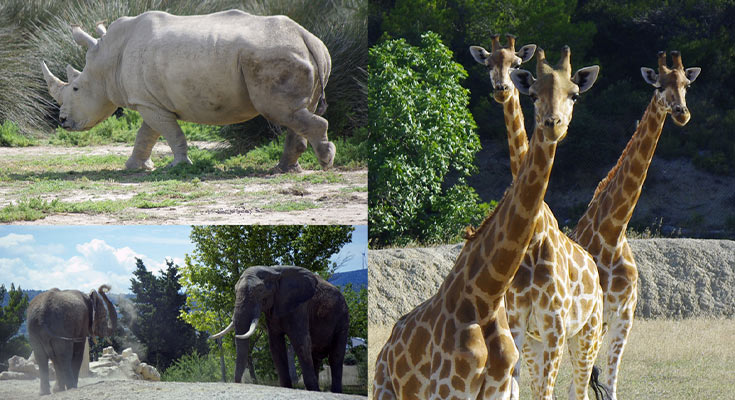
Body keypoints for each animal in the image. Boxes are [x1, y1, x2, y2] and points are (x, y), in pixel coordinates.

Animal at [210, 264, 350, 392]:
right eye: (234, 290)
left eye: (260, 290)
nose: (238, 383)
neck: (273, 270)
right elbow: (276, 345)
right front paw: (287, 387)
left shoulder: (299, 306)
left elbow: (300, 341)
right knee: (315, 356)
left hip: (343, 317)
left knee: (336, 356)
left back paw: (332, 391)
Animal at [374, 47, 600, 400]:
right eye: (533, 94)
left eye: (574, 94)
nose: (553, 124)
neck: (485, 298)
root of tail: (386, 348)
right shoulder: (450, 391)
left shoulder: (502, 384)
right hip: (385, 389)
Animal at [572, 50, 704, 400]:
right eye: (658, 85)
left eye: (686, 84)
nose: (681, 113)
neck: (613, 231)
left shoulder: (623, 315)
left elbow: (611, 383)